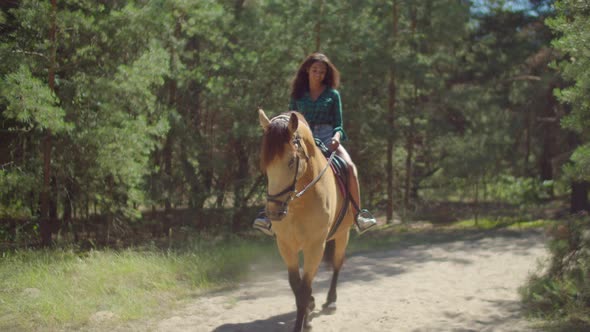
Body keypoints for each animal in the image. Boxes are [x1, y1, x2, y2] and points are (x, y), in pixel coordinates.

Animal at [256, 109, 354, 332]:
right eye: (265, 163)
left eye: (291, 161)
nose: (274, 212)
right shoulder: (286, 246)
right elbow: (297, 285)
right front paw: (307, 312)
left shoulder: (314, 246)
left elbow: (305, 287)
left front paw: (303, 321)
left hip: (343, 234)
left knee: (337, 264)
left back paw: (331, 301)